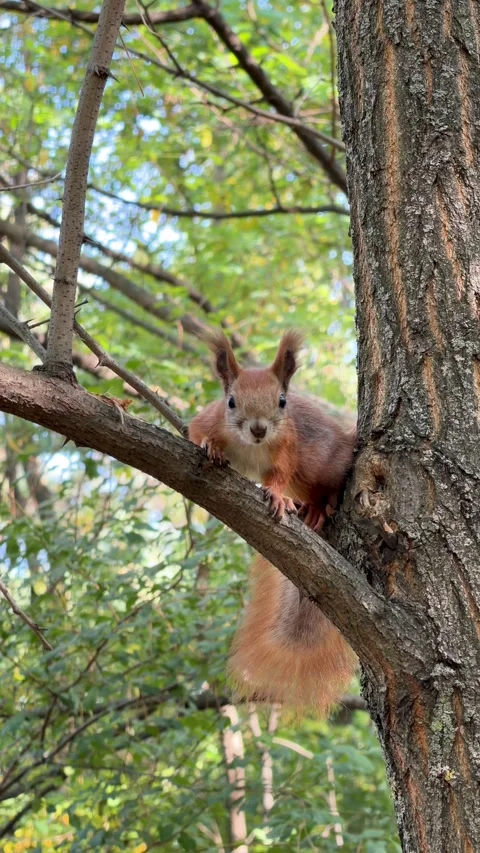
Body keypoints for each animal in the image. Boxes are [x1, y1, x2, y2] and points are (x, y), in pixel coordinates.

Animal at [189, 329, 357, 713]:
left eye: (282, 401)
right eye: (231, 402)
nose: (258, 429)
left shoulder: (287, 448)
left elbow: (279, 475)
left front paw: (278, 497)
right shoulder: (209, 419)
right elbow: (193, 431)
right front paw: (211, 448)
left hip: (322, 465)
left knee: (330, 488)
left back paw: (317, 507)